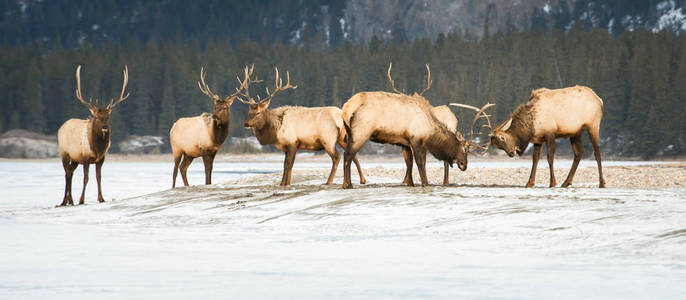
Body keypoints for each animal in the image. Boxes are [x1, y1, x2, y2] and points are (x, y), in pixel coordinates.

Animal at [57, 65, 131, 206]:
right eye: (96, 117)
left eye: (108, 117)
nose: (105, 127)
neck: (97, 148)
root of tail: (61, 127)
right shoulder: (85, 157)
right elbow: (86, 178)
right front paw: (82, 200)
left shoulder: (101, 158)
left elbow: (99, 177)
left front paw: (101, 198)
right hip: (64, 152)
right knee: (66, 173)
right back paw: (64, 201)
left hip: (75, 158)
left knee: (70, 172)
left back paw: (70, 200)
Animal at [239, 67, 368, 185]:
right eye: (249, 111)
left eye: (258, 112)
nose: (246, 124)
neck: (276, 130)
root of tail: (342, 117)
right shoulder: (287, 146)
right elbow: (285, 164)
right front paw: (283, 183)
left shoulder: (292, 142)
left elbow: (289, 164)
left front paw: (285, 183)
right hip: (343, 138)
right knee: (352, 154)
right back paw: (362, 180)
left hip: (328, 139)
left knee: (337, 157)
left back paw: (328, 181)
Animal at [342, 63, 492, 189]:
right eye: (465, 149)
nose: (464, 165)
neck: (430, 130)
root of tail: (346, 108)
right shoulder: (416, 139)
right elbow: (420, 163)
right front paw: (425, 183)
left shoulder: (405, 142)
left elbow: (409, 163)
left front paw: (411, 184)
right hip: (361, 131)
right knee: (348, 155)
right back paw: (348, 185)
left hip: (349, 133)